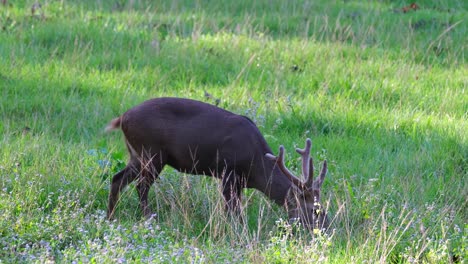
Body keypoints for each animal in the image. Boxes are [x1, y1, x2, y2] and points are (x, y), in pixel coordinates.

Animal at [104, 97, 330, 231]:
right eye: (314, 210)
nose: (326, 227)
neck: (256, 167)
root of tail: (123, 117)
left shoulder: (239, 181)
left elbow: (234, 207)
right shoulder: (228, 171)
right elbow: (232, 209)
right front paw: (238, 230)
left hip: (137, 155)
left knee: (117, 179)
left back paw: (110, 217)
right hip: (151, 152)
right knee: (141, 186)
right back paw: (149, 218)